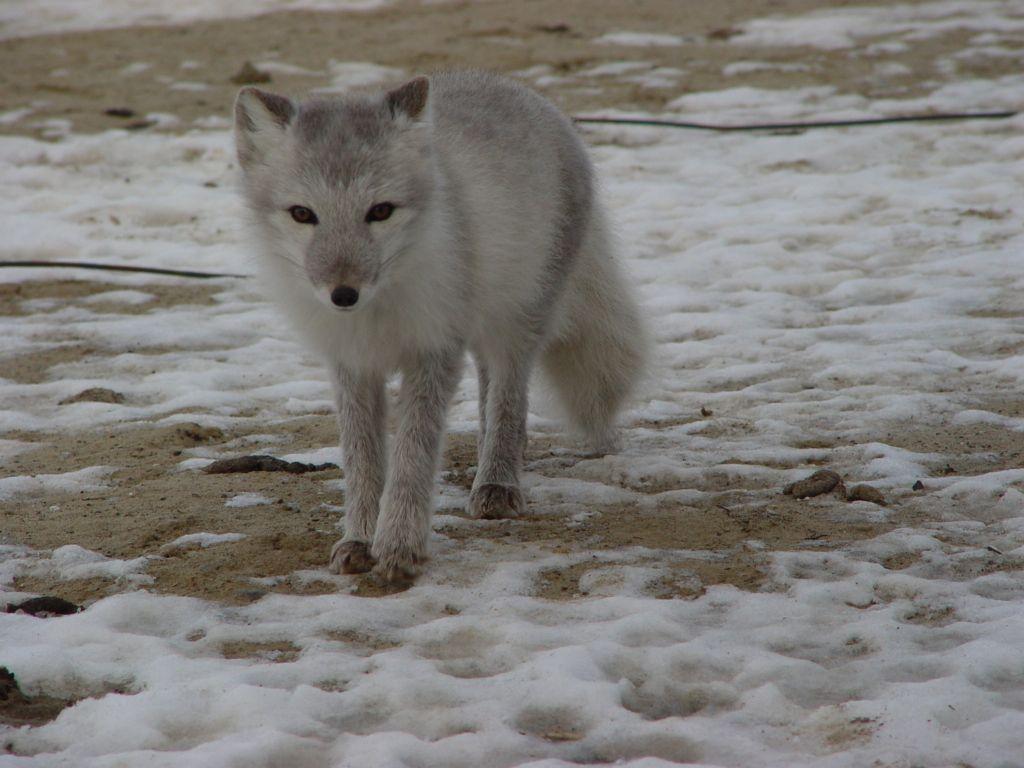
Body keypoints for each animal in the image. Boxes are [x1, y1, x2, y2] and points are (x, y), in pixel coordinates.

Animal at [235, 72, 643, 585]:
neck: (377, 313)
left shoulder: (434, 352)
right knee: (489, 390)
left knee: (508, 396)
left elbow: (413, 455)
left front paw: (399, 546)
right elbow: (362, 460)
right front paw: (358, 540)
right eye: (302, 214)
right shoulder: (352, 365)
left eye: (380, 211)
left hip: (518, 322)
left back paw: (496, 480)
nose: (343, 294)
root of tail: (520, 91)